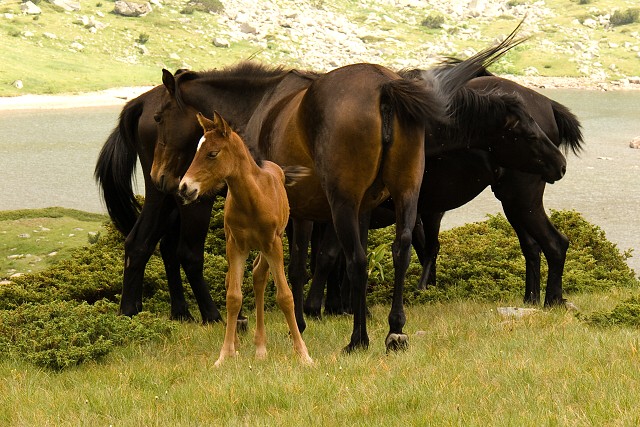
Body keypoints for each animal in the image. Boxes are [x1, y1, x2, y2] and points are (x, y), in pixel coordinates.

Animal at [179, 111, 312, 365]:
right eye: (196, 151)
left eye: (212, 153)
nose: (184, 188)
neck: (253, 199)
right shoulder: (236, 246)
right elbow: (233, 296)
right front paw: (225, 354)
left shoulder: (273, 244)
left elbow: (285, 296)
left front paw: (303, 354)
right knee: (235, 280)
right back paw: (243, 344)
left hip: (266, 246)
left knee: (259, 276)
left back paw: (261, 347)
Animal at [302, 75, 583, 318]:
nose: (559, 165)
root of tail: (547, 103)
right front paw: (339, 307)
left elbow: (329, 255)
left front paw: (324, 307)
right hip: (513, 204)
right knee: (532, 247)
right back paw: (532, 299)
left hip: (522, 200)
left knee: (555, 243)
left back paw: (552, 300)